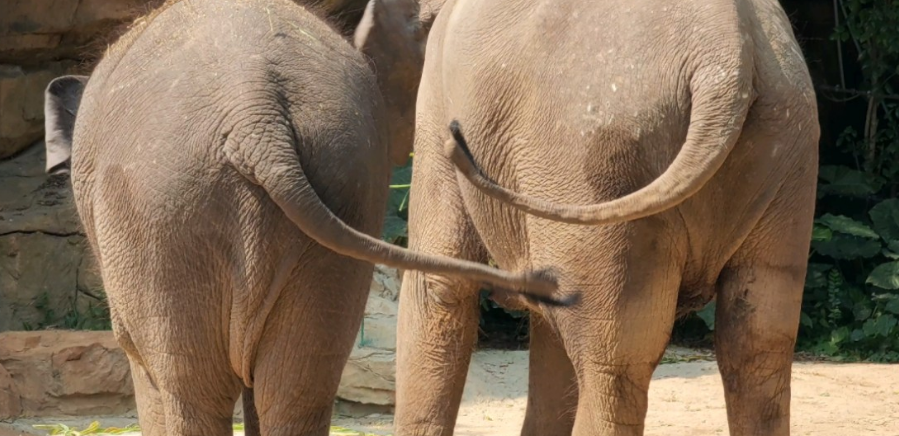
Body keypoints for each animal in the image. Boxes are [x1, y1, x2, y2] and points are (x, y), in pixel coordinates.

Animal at [41, 0, 568, 434]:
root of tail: (254, 112)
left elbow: (142, 363)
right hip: (342, 184)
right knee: (297, 388)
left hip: (163, 212)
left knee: (189, 392)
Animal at [395, 0, 819, 435]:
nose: (457, 135)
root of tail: (724, 55)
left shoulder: (435, 102)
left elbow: (438, 283)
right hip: (788, 153)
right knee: (758, 344)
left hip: (599, 163)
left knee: (614, 361)